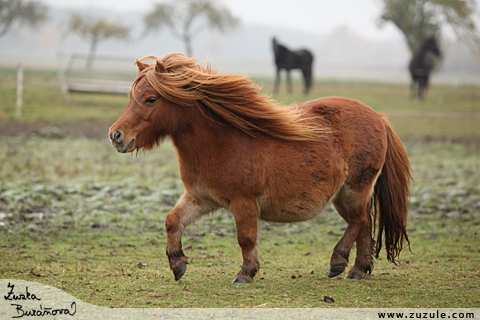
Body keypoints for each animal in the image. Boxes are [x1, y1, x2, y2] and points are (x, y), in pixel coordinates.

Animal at [109, 53, 412, 284]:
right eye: (131, 97)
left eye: (150, 99)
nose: (116, 135)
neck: (221, 140)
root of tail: (378, 117)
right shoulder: (201, 198)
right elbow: (172, 220)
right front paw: (177, 263)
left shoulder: (243, 202)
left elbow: (246, 238)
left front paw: (246, 273)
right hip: (345, 195)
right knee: (364, 224)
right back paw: (358, 270)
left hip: (353, 190)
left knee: (359, 221)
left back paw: (338, 263)